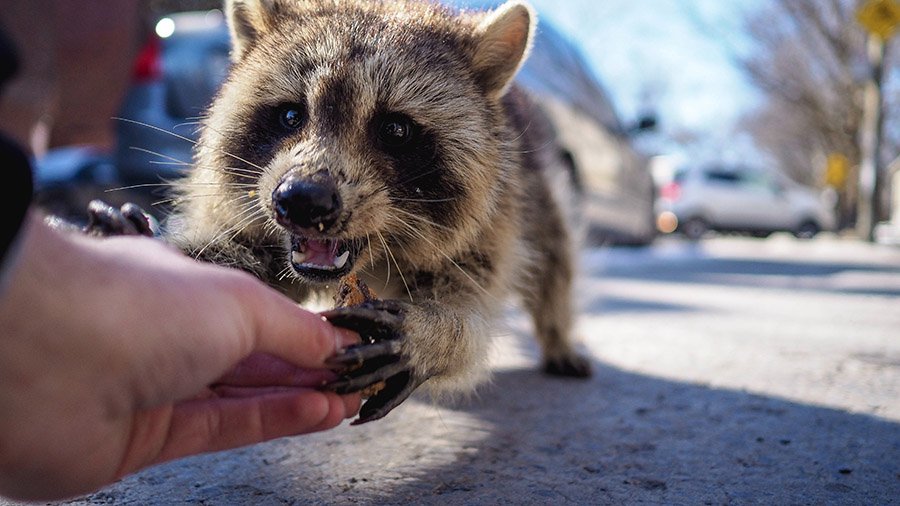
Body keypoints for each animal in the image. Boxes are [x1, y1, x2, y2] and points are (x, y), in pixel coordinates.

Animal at [158, 0, 592, 424]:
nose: (302, 200)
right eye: (290, 115)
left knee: (556, 256)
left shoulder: (497, 218)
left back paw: (558, 334)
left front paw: (437, 333)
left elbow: (473, 312)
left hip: (538, 189)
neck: (377, 255)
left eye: (396, 129)